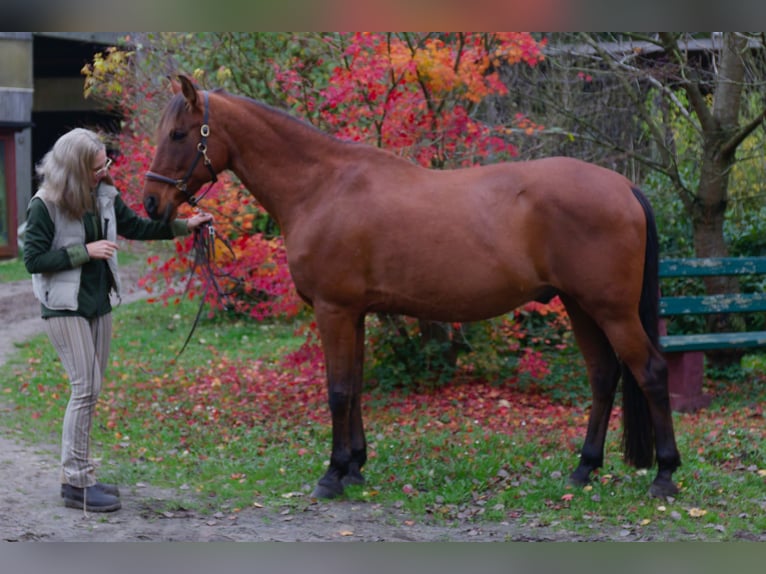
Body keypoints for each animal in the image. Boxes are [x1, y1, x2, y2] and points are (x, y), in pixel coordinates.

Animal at [144, 75, 684, 500]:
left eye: (179, 133)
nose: (150, 203)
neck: (322, 187)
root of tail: (623, 186)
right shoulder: (355, 313)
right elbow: (355, 386)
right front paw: (355, 467)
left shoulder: (333, 310)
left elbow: (338, 390)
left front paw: (331, 476)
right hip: (579, 306)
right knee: (604, 376)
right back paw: (583, 469)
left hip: (611, 310)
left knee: (651, 372)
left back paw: (665, 476)